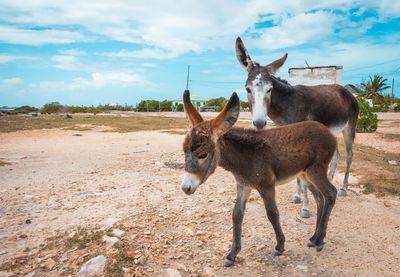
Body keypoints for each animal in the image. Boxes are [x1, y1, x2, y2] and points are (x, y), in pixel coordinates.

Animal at [181, 89, 338, 266]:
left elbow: (273, 214)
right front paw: (232, 255)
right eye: (184, 151)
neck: (245, 158)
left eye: (203, 155)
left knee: (331, 193)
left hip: (316, 170)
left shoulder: (267, 186)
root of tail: (327, 131)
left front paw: (280, 246)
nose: (185, 188)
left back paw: (319, 241)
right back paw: (314, 238)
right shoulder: (243, 185)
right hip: (305, 174)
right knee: (320, 198)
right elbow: (237, 215)